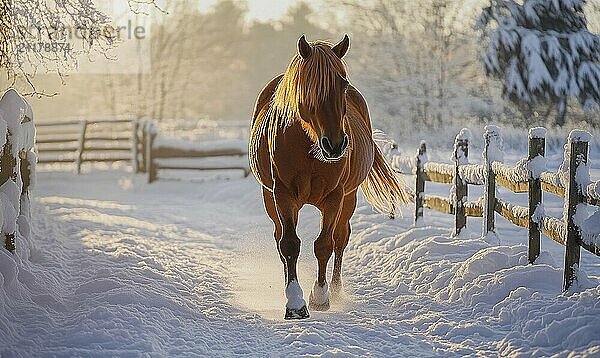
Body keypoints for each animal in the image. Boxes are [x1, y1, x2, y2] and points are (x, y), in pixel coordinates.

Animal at [248, 34, 412, 318]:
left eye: (343, 84)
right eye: (309, 86)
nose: (335, 144)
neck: (308, 145)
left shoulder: (334, 197)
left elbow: (325, 244)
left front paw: (320, 296)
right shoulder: (282, 195)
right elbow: (289, 244)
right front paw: (295, 302)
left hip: (349, 198)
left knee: (341, 239)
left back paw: (335, 290)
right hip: (271, 199)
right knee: (280, 240)